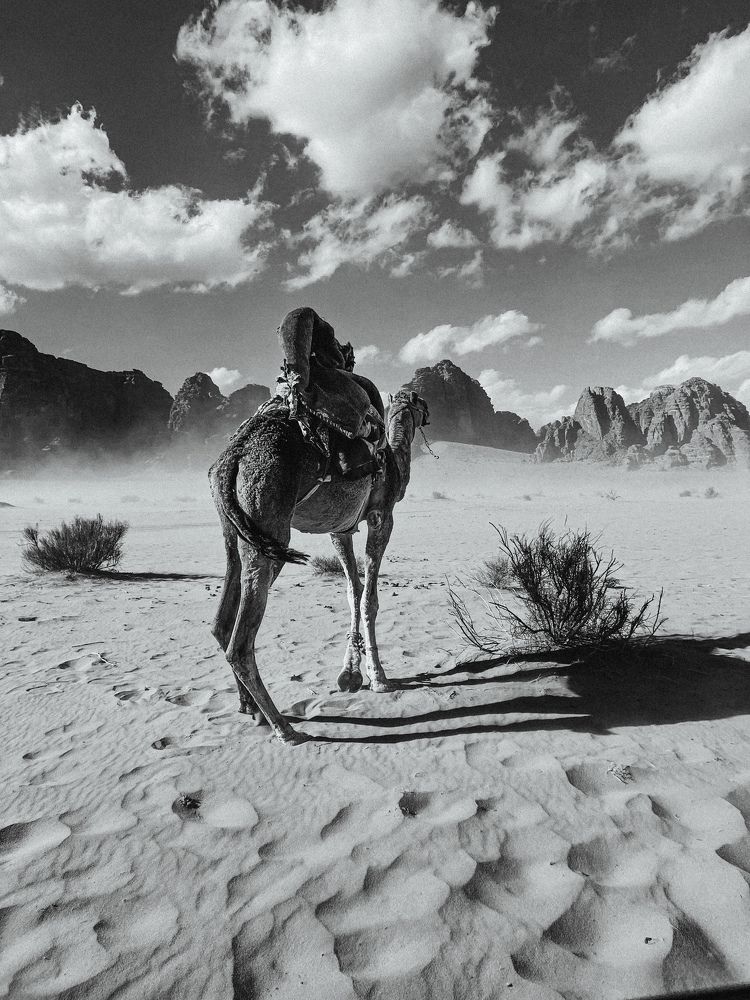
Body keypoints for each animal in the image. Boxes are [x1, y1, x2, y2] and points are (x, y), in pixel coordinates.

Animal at [209, 387, 430, 745]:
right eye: (421, 402)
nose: (429, 412)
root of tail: (232, 458)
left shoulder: (341, 529)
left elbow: (353, 591)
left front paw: (351, 674)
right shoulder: (381, 516)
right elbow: (369, 599)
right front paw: (379, 678)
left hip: (233, 529)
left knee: (222, 622)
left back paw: (250, 708)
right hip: (270, 523)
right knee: (239, 644)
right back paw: (284, 728)